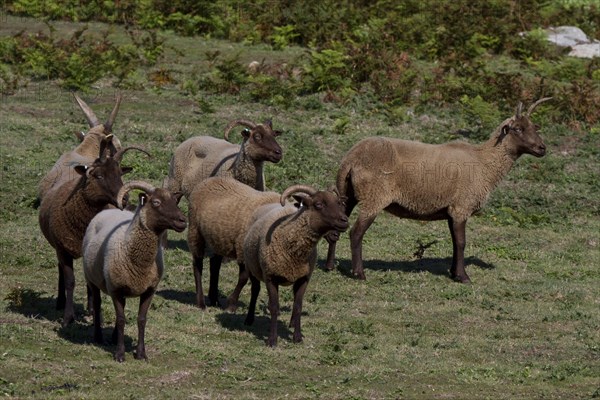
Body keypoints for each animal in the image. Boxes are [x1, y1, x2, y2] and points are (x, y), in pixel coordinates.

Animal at [39, 139, 146, 326]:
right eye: (99, 176)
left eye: (120, 174)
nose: (125, 199)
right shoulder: (62, 249)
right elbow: (70, 281)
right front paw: (68, 317)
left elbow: (91, 284)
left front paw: (94, 314)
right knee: (60, 270)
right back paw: (60, 302)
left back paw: (89, 308)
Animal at [82, 180, 185, 360]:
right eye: (156, 202)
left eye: (175, 201)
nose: (183, 220)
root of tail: (108, 210)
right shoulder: (115, 289)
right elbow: (121, 319)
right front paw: (120, 354)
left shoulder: (149, 290)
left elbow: (141, 319)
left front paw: (141, 353)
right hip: (92, 279)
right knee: (97, 303)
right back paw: (99, 337)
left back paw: (115, 337)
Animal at [243, 184, 350, 346]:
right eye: (318, 205)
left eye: (338, 203)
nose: (345, 221)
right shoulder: (270, 277)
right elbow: (273, 307)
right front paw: (272, 340)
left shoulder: (303, 278)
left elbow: (298, 306)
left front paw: (297, 337)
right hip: (253, 268)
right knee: (255, 291)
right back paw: (249, 319)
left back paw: (292, 323)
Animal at [326, 98, 552, 282]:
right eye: (518, 129)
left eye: (534, 127)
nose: (542, 148)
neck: (484, 163)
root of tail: (352, 158)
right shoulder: (461, 207)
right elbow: (461, 242)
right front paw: (463, 277)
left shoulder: (451, 210)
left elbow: (454, 243)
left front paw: (454, 272)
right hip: (374, 197)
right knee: (356, 232)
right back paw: (359, 273)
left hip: (346, 194)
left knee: (335, 230)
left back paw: (330, 266)